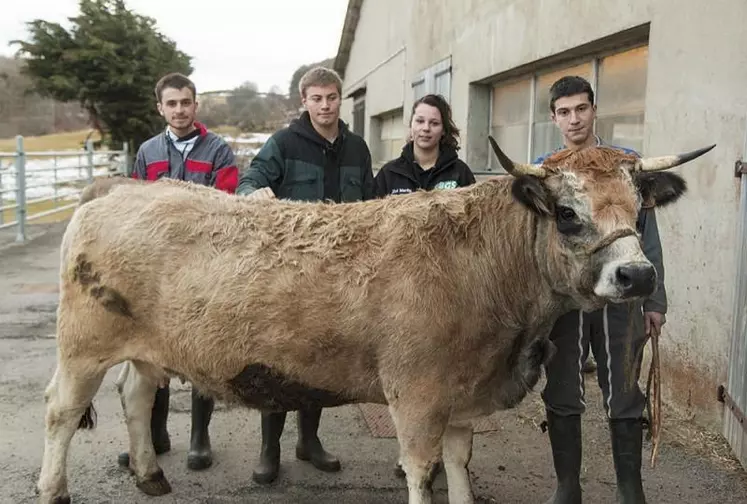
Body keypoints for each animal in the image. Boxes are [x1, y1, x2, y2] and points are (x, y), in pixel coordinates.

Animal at [35, 138, 712, 504]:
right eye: (569, 213)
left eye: (640, 207)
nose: (638, 276)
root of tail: (119, 187)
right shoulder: (416, 394)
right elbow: (420, 470)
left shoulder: (462, 394)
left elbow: (458, 466)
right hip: (82, 345)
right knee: (63, 412)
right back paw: (54, 487)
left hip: (147, 345)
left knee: (135, 393)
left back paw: (150, 475)